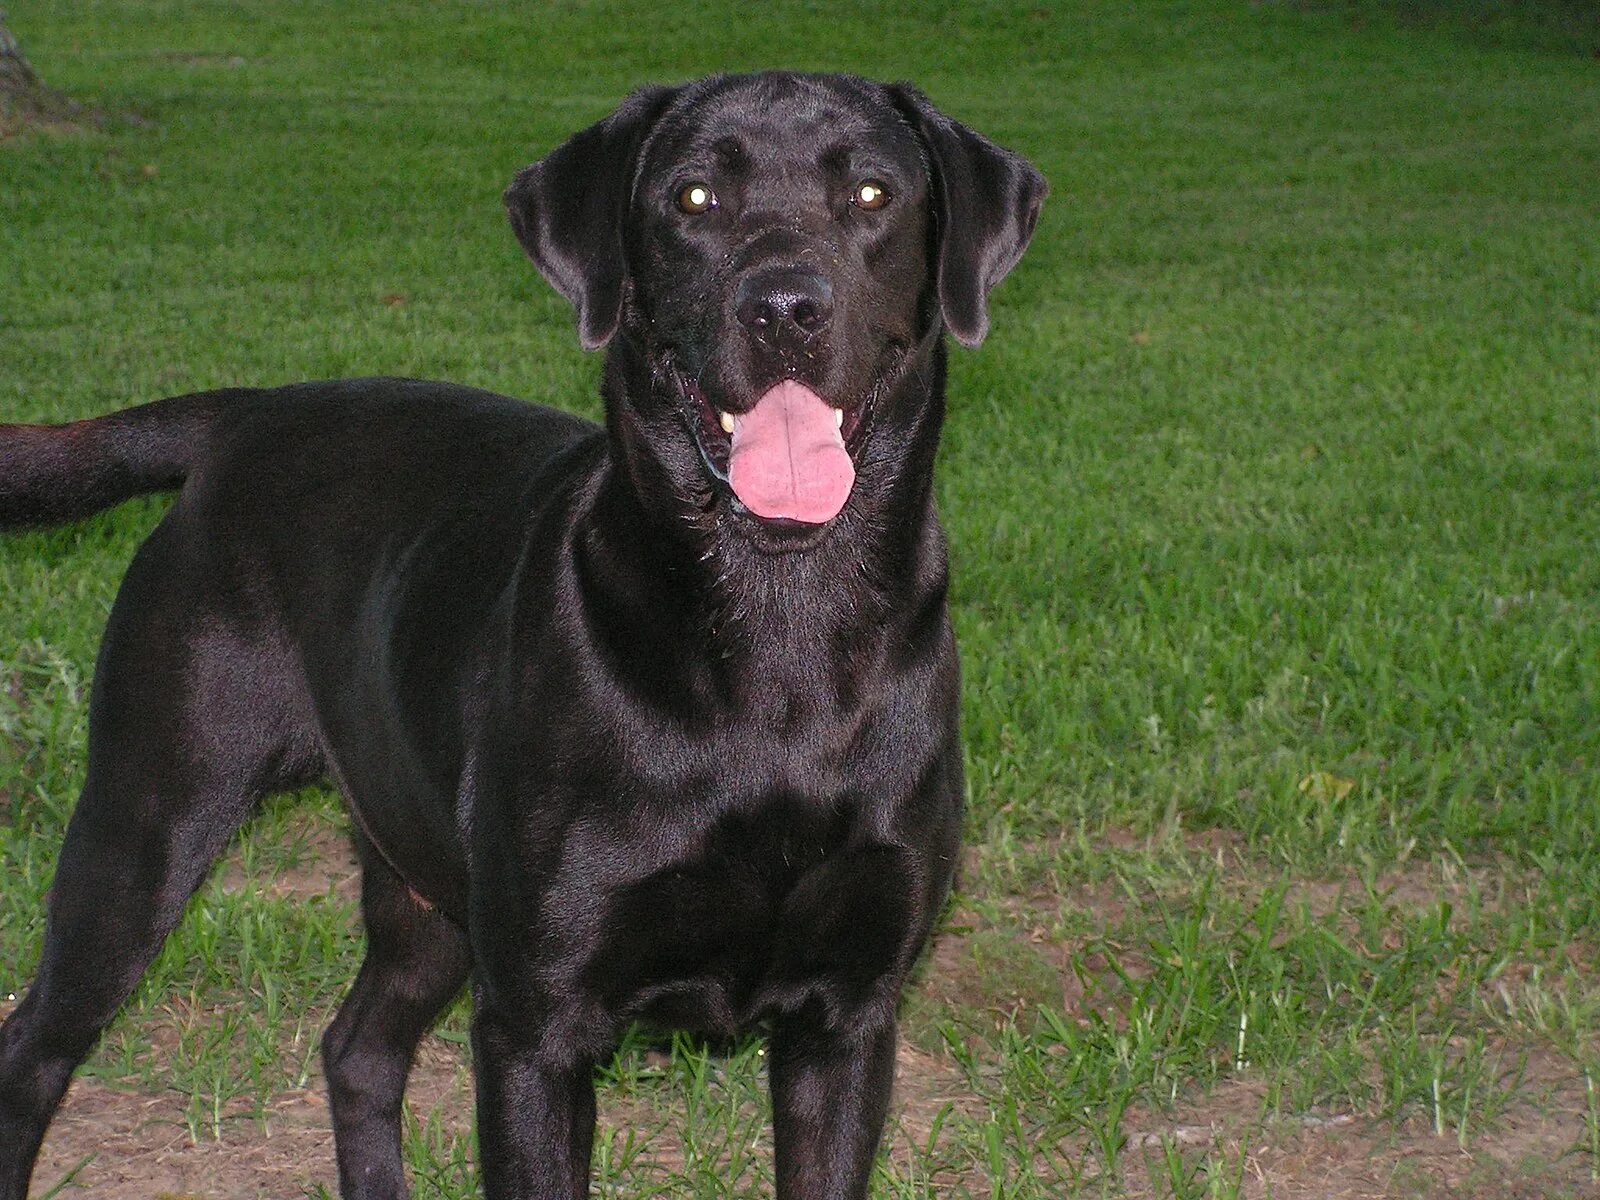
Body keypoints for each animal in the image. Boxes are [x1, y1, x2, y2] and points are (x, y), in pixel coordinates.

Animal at [0, 70, 1043, 1196]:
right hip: (146, 828)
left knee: (357, 1045)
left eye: (870, 193)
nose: (783, 308)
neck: (778, 623)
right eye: (692, 199)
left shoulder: (845, 1022)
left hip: (426, 886)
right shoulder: (535, 1031)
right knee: (34, 1051)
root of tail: (243, 417)